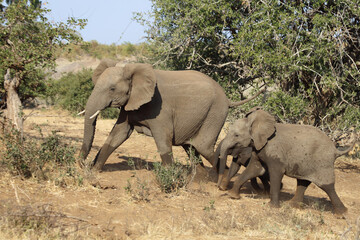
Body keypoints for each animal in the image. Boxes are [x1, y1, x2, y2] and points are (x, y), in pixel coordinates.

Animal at [80, 60, 262, 172]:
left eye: (112, 89)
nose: (82, 164)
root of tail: (228, 99)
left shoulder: (160, 108)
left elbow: (163, 140)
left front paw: (168, 178)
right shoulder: (129, 105)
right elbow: (118, 135)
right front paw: (95, 171)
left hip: (215, 113)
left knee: (204, 147)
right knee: (192, 148)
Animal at [217, 108, 354, 215]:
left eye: (236, 135)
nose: (219, 188)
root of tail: (335, 150)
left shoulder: (276, 153)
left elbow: (275, 173)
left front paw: (272, 207)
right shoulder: (259, 148)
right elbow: (255, 169)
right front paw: (233, 196)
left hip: (322, 162)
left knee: (327, 186)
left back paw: (342, 214)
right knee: (303, 182)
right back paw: (291, 205)